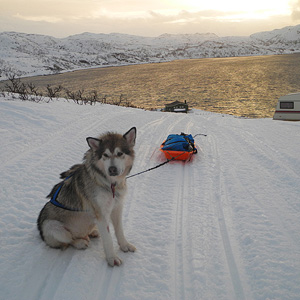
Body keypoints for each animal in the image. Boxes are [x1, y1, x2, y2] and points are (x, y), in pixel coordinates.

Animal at [37, 127, 137, 266]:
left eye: (120, 153)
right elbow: (108, 239)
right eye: (105, 155)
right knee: (69, 240)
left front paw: (124, 245)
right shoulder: (101, 215)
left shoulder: (117, 208)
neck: (110, 184)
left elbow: (119, 231)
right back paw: (80, 242)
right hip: (53, 227)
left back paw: (93, 232)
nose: (112, 169)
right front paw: (112, 258)